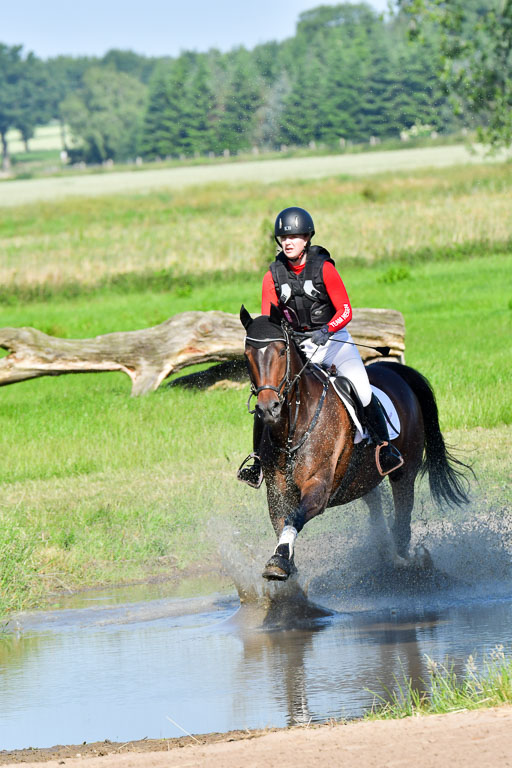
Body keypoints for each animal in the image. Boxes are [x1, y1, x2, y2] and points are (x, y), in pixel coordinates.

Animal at [240, 303, 471, 582]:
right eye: (247, 355)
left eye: (282, 351)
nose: (268, 409)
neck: (293, 424)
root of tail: (394, 371)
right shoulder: (277, 494)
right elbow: (282, 523)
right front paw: (286, 565)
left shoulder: (318, 488)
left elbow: (294, 519)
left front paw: (278, 561)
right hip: (363, 475)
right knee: (377, 509)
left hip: (404, 471)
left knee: (402, 523)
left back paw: (411, 562)